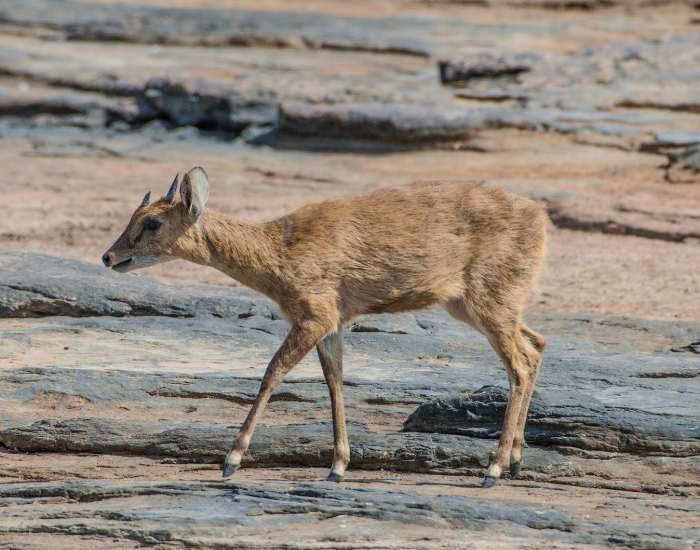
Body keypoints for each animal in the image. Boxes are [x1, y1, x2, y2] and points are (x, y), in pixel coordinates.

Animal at [102, 167, 547, 488]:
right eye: (134, 215)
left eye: (153, 222)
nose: (109, 256)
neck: (279, 252)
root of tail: (542, 218)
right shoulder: (333, 322)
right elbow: (335, 380)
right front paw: (337, 466)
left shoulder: (314, 314)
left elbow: (273, 372)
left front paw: (231, 460)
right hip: (476, 304)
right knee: (537, 345)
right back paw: (516, 461)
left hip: (490, 300)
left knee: (519, 364)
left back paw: (492, 471)